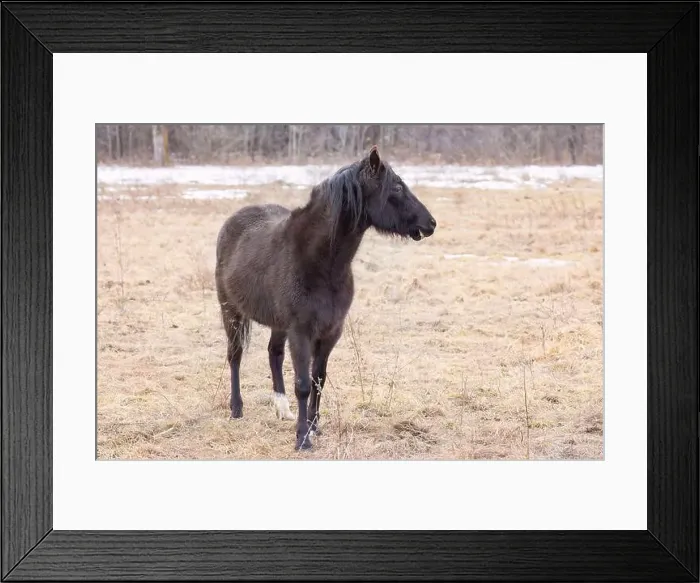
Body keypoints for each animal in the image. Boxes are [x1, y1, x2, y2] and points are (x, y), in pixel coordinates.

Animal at [214, 146, 437, 450]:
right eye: (397, 187)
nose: (430, 224)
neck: (320, 263)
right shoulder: (301, 332)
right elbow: (303, 384)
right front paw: (302, 438)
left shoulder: (330, 331)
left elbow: (318, 378)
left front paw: (313, 426)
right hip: (231, 311)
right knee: (235, 356)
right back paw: (237, 409)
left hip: (277, 324)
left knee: (274, 354)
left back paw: (282, 409)